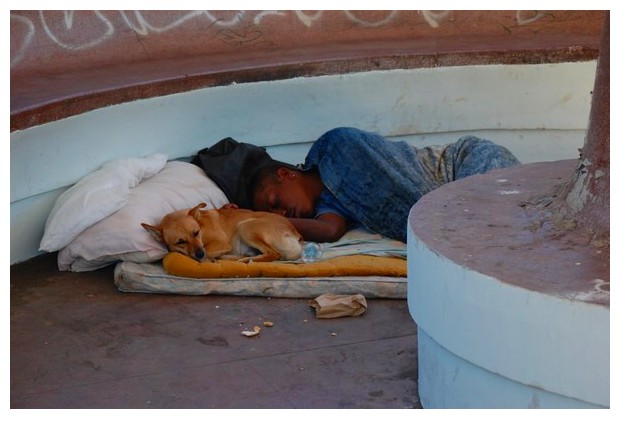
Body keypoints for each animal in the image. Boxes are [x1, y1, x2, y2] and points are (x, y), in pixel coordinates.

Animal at [141, 203, 306, 262]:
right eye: (180, 241)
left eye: (196, 233)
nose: (200, 254)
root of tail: (295, 234)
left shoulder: (221, 244)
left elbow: (208, 250)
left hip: (244, 226)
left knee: (274, 254)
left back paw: (247, 259)